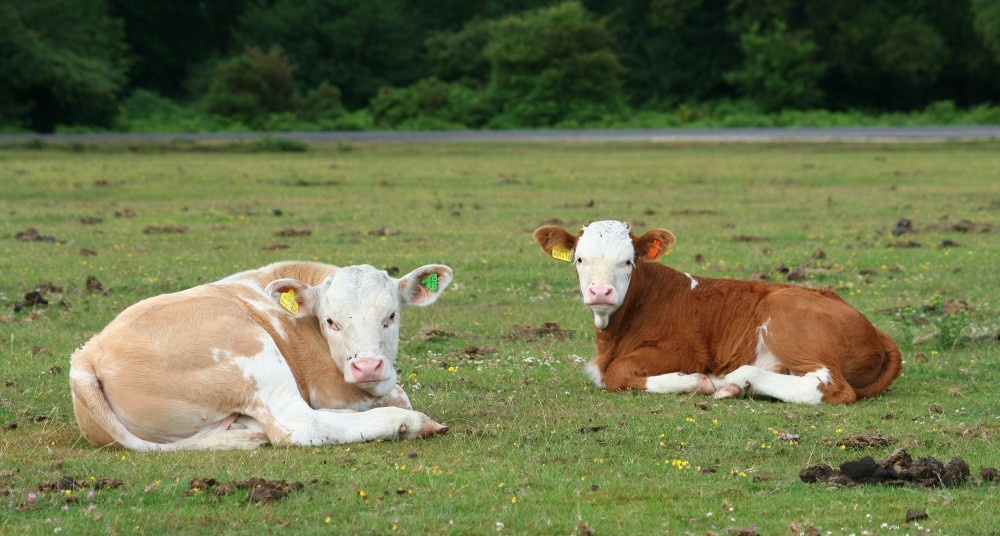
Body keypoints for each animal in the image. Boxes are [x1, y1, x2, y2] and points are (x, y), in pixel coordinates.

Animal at [72, 262, 456, 450]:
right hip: (254, 351)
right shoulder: (331, 388)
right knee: (299, 424)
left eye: (391, 316)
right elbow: (398, 395)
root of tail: (89, 353)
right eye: (331, 321)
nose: (367, 367)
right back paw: (409, 423)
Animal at [536, 220, 904, 404]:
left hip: (785, 314)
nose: (600, 292)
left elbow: (617, 373)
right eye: (579, 259)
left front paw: (694, 381)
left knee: (830, 387)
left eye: (627, 261)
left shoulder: (686, 349)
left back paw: (733, 381)